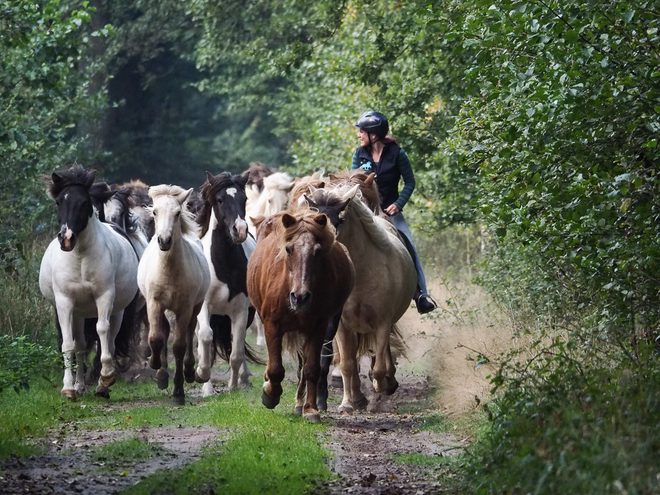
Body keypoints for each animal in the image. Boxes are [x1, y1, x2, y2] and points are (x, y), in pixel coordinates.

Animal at [39, 166, 141, 400]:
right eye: (59, 202)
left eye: (83, 202)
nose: (67, 239)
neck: (80, 257)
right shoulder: (64, 302)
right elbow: (69, 344)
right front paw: (68, 388)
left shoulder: (104, 297)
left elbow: (102, 331)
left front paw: (106, 378)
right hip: (78, 313)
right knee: (80, 344)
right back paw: (79, 385)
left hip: (117, 311)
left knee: (110, 339)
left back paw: (102, 384)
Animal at [138, 184, 210, 404]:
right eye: (154, 212)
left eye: (178, 213)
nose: (164, 241)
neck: (169, 271)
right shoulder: (154, 304)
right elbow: (156, 338)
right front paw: (155, 366)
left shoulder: (185, 308)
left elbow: (179, 345)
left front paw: (179, 391)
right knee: (163, 332)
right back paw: (162, 375)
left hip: (195, 307)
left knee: (189, 332)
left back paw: (188, 371)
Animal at [195, 172, 262, 398]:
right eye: (220, 200)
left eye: (244, 198)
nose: (240, 230)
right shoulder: (204, 308)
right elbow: (206, 338)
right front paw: (203, 377)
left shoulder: (240, 311)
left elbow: (236, 352)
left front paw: (233, 386)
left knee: (237, 345)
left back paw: (244, 378)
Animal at [246, 209, 356, 422]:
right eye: (288, 249)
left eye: (318, 251)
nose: (300, 297)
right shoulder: (272, 324)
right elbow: (275, 368)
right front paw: (270, 395)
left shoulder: (318, 327)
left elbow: (311, 368)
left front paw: (311, 409)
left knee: (305, 365)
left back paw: (300, 404)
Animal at [302, 184, 416, 412]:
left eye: (341, 219)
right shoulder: (341, 325)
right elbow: (347, 364)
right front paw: (349, 402)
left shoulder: (382, 323)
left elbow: (379, 366)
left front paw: (382, 386)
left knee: (382, 356)